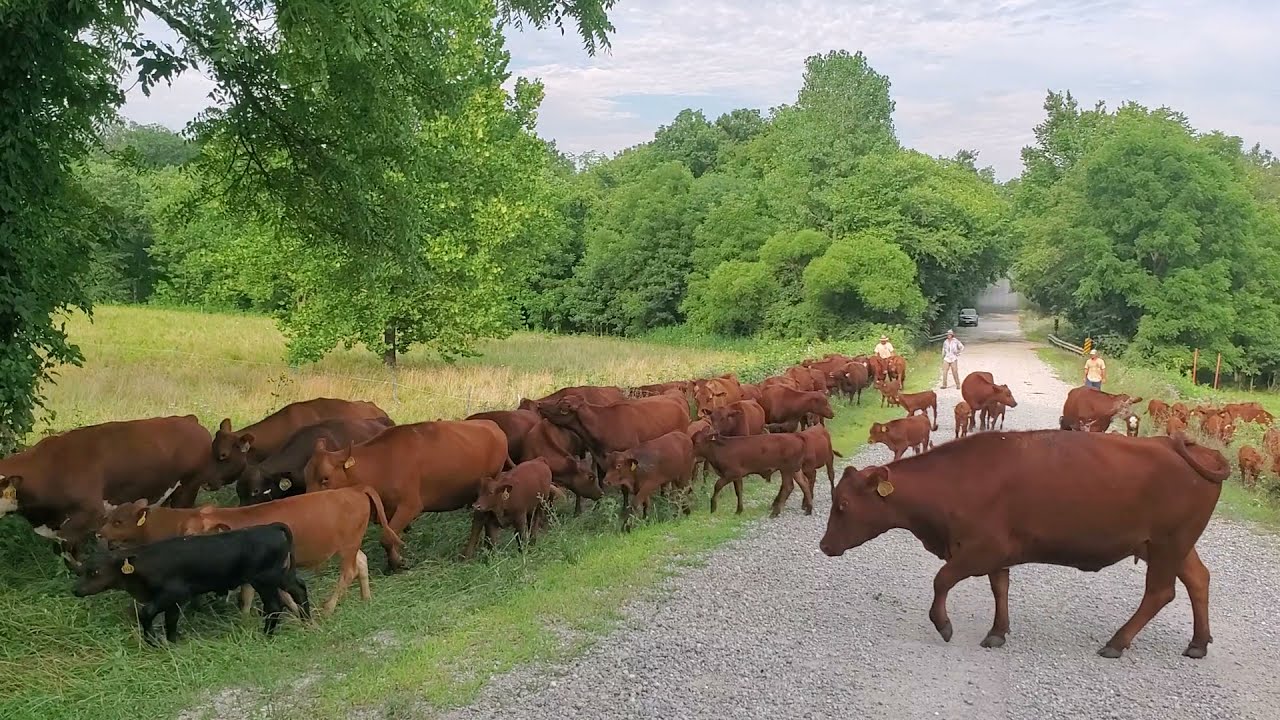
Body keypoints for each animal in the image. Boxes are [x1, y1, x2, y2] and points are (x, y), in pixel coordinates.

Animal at [74, 523, 311, 645]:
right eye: (83, 570)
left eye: (95, 571)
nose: (75, 590)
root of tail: (271, 527)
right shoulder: (173, 602)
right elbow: (171, 620)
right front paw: (172, 642)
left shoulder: (173, 594)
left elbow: (146, 613)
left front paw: (153, 642)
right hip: (282, 575)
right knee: (299, 590)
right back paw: (307, 623)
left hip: (265, 580)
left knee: (274, 606)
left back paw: (266, 636)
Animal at [99, 485, 399, 616]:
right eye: (110, 518)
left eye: (119, 521)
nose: (99, 534)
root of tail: (353, 489)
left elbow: (250, 597)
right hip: (350, 545)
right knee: (361, 561)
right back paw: (366, 598)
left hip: (347, 547)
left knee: (348, 571)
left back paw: (329, 606)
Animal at [303, 419, 509, 567]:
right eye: (306, 476)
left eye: (325, 478)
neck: (381, 462)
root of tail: (493, 425)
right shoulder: (387, 509)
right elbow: (393, 536)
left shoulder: (410, 506)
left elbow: (387, 538)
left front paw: (396, 564)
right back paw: (490, 546)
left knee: (479, 520)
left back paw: (467, 554)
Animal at [820, 430, 1229, 659]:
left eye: (842, 505)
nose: (824, 545)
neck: (954, 480)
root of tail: (1178, 445)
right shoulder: (997, 554)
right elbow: (999, 588)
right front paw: (997, 632)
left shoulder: (978, 550)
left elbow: (941, 580)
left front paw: (944, 624)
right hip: (1170, 546)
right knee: (1198, 579)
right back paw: (1198, 643)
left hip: (1167, 543)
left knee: (1160, 592)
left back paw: (1117, 642)